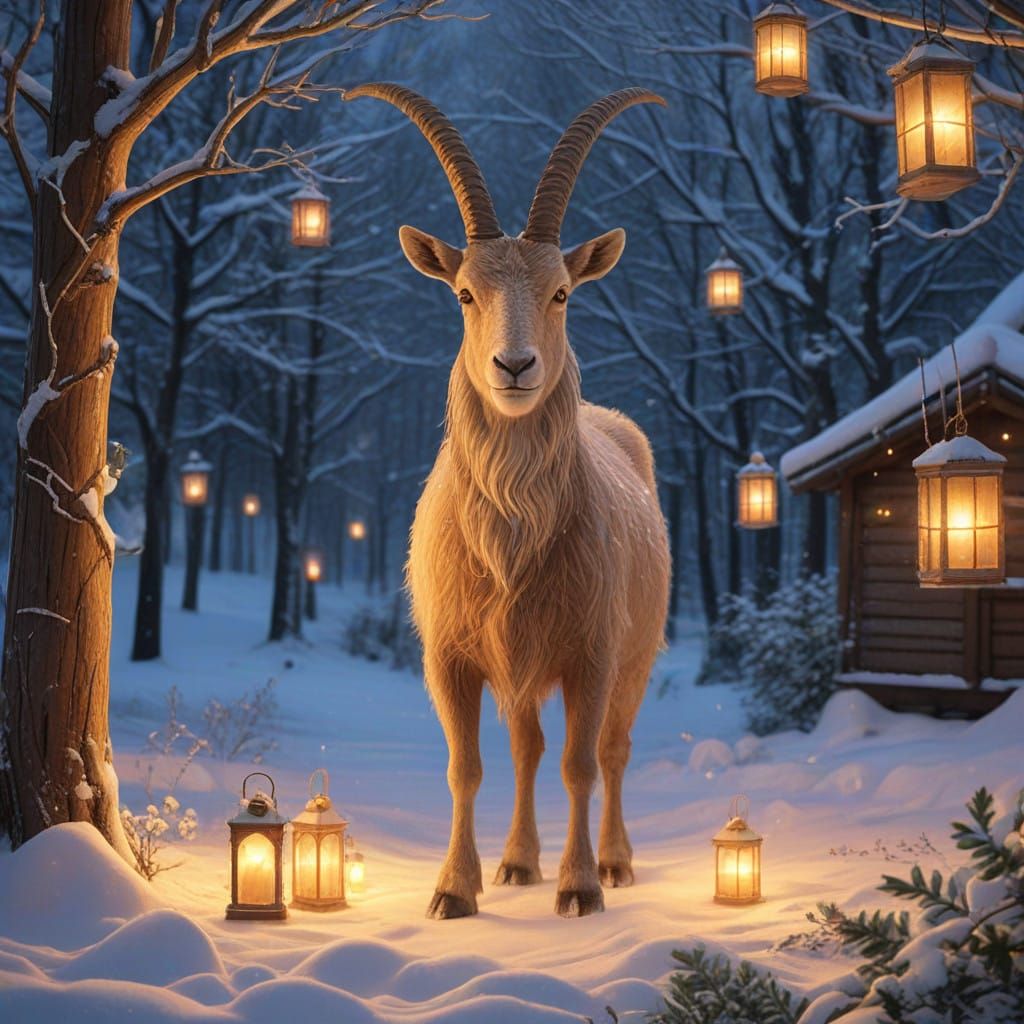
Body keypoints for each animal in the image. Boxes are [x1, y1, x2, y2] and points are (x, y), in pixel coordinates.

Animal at [345, 84, 671, 919]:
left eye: (561, 292)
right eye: (465, 293)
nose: (515, 366)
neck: (516, 535)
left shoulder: (591, 650)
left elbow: (582, 764)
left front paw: (581, 888)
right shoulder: (452, 653)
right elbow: (468, 768)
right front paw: (453, 891)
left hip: (637, 650)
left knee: (613, 750)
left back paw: (615, 861)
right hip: (520, 661)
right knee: (527, 747)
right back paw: (519, 863)